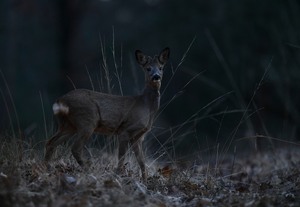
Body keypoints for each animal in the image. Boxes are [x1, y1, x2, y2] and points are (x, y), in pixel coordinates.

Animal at [45, 47, 171, 180]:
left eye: (161, 68)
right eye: (148, 68)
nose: (156, 76)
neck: (145, 105)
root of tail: (60, 100)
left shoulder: (138, 137)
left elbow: (141, 161)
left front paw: (144, 180)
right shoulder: (125, 130)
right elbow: (121, 158)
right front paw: (117, 176)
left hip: (68, 125)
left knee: (51, 142)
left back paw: (49, 168)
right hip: (87, 120)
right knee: (75, 148)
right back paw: (88, 171)